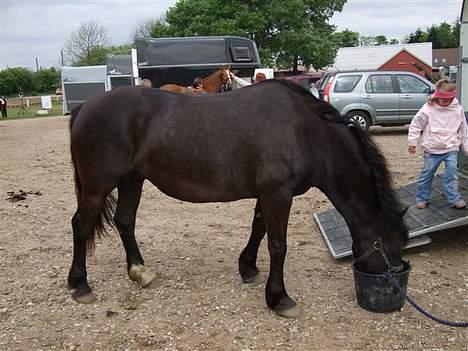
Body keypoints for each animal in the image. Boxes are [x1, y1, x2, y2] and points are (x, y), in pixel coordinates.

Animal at [67, 80, 408, 320]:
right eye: (391, 247)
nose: (395, 285)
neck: (306, 132)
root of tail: (85, 107)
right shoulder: (277, 194)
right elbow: (278, 245)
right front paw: (279, 298)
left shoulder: (268, 194)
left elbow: (259, 230)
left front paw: (248, 268)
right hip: (98, 186)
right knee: (81, 225)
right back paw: (80, 285)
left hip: (131, 180)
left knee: (125, 221)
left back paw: (140, 272)